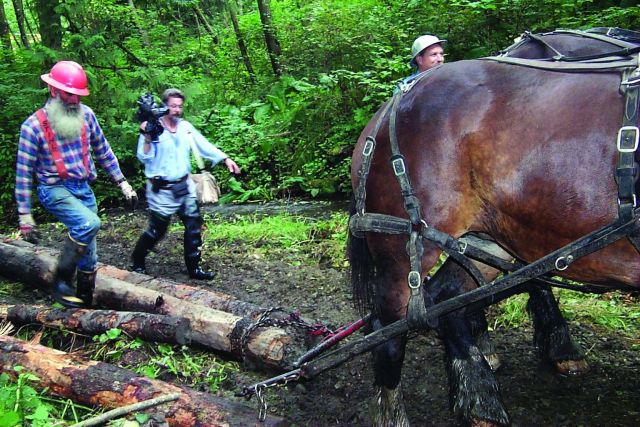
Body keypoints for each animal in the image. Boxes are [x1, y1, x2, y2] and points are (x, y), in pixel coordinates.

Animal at [349, 29, 640, 426]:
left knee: (446, 298)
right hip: (401, 250)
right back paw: (395, 411)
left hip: (490, 240)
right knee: (387, 328)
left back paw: (480, 398)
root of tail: (386, 110)